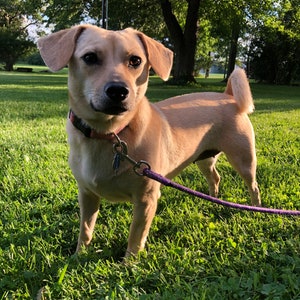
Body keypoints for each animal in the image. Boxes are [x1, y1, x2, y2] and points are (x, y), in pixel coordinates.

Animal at [38, 24, 260, 256]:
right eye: (89, 57)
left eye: (135, 60)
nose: (118, 90)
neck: (111, 133)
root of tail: (228, 97)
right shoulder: (87, 194)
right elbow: (86, 228)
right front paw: (78, 255)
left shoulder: (146, 200)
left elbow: (136, 235)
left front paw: (129, 261)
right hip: (204, 158)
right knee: (215, 177)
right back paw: (213, 200)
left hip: (244, 159)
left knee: (253, 185)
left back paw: (254, 209)